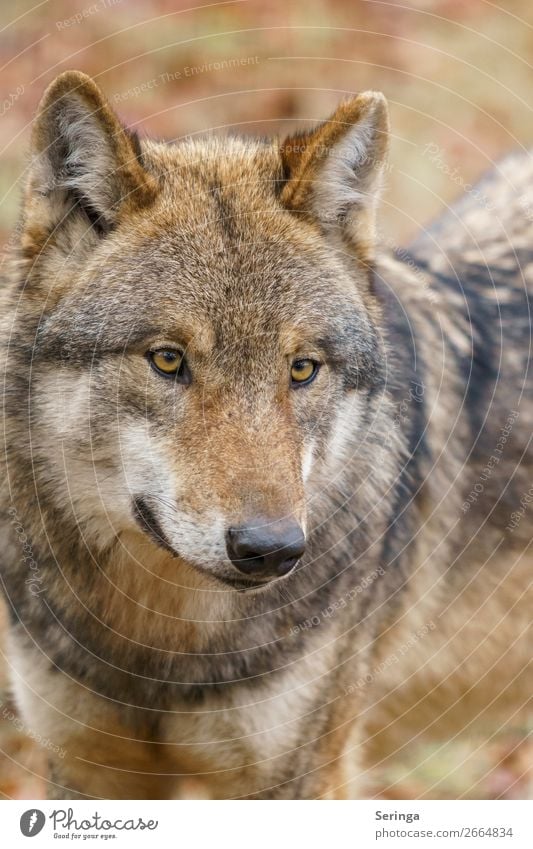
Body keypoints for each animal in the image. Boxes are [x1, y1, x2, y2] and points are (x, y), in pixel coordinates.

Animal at [0, 71, 528, 796]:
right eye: (168, 359)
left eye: (301, 369)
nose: (270, 549)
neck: (155, 649)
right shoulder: (85, 767)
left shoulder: (298, 777)